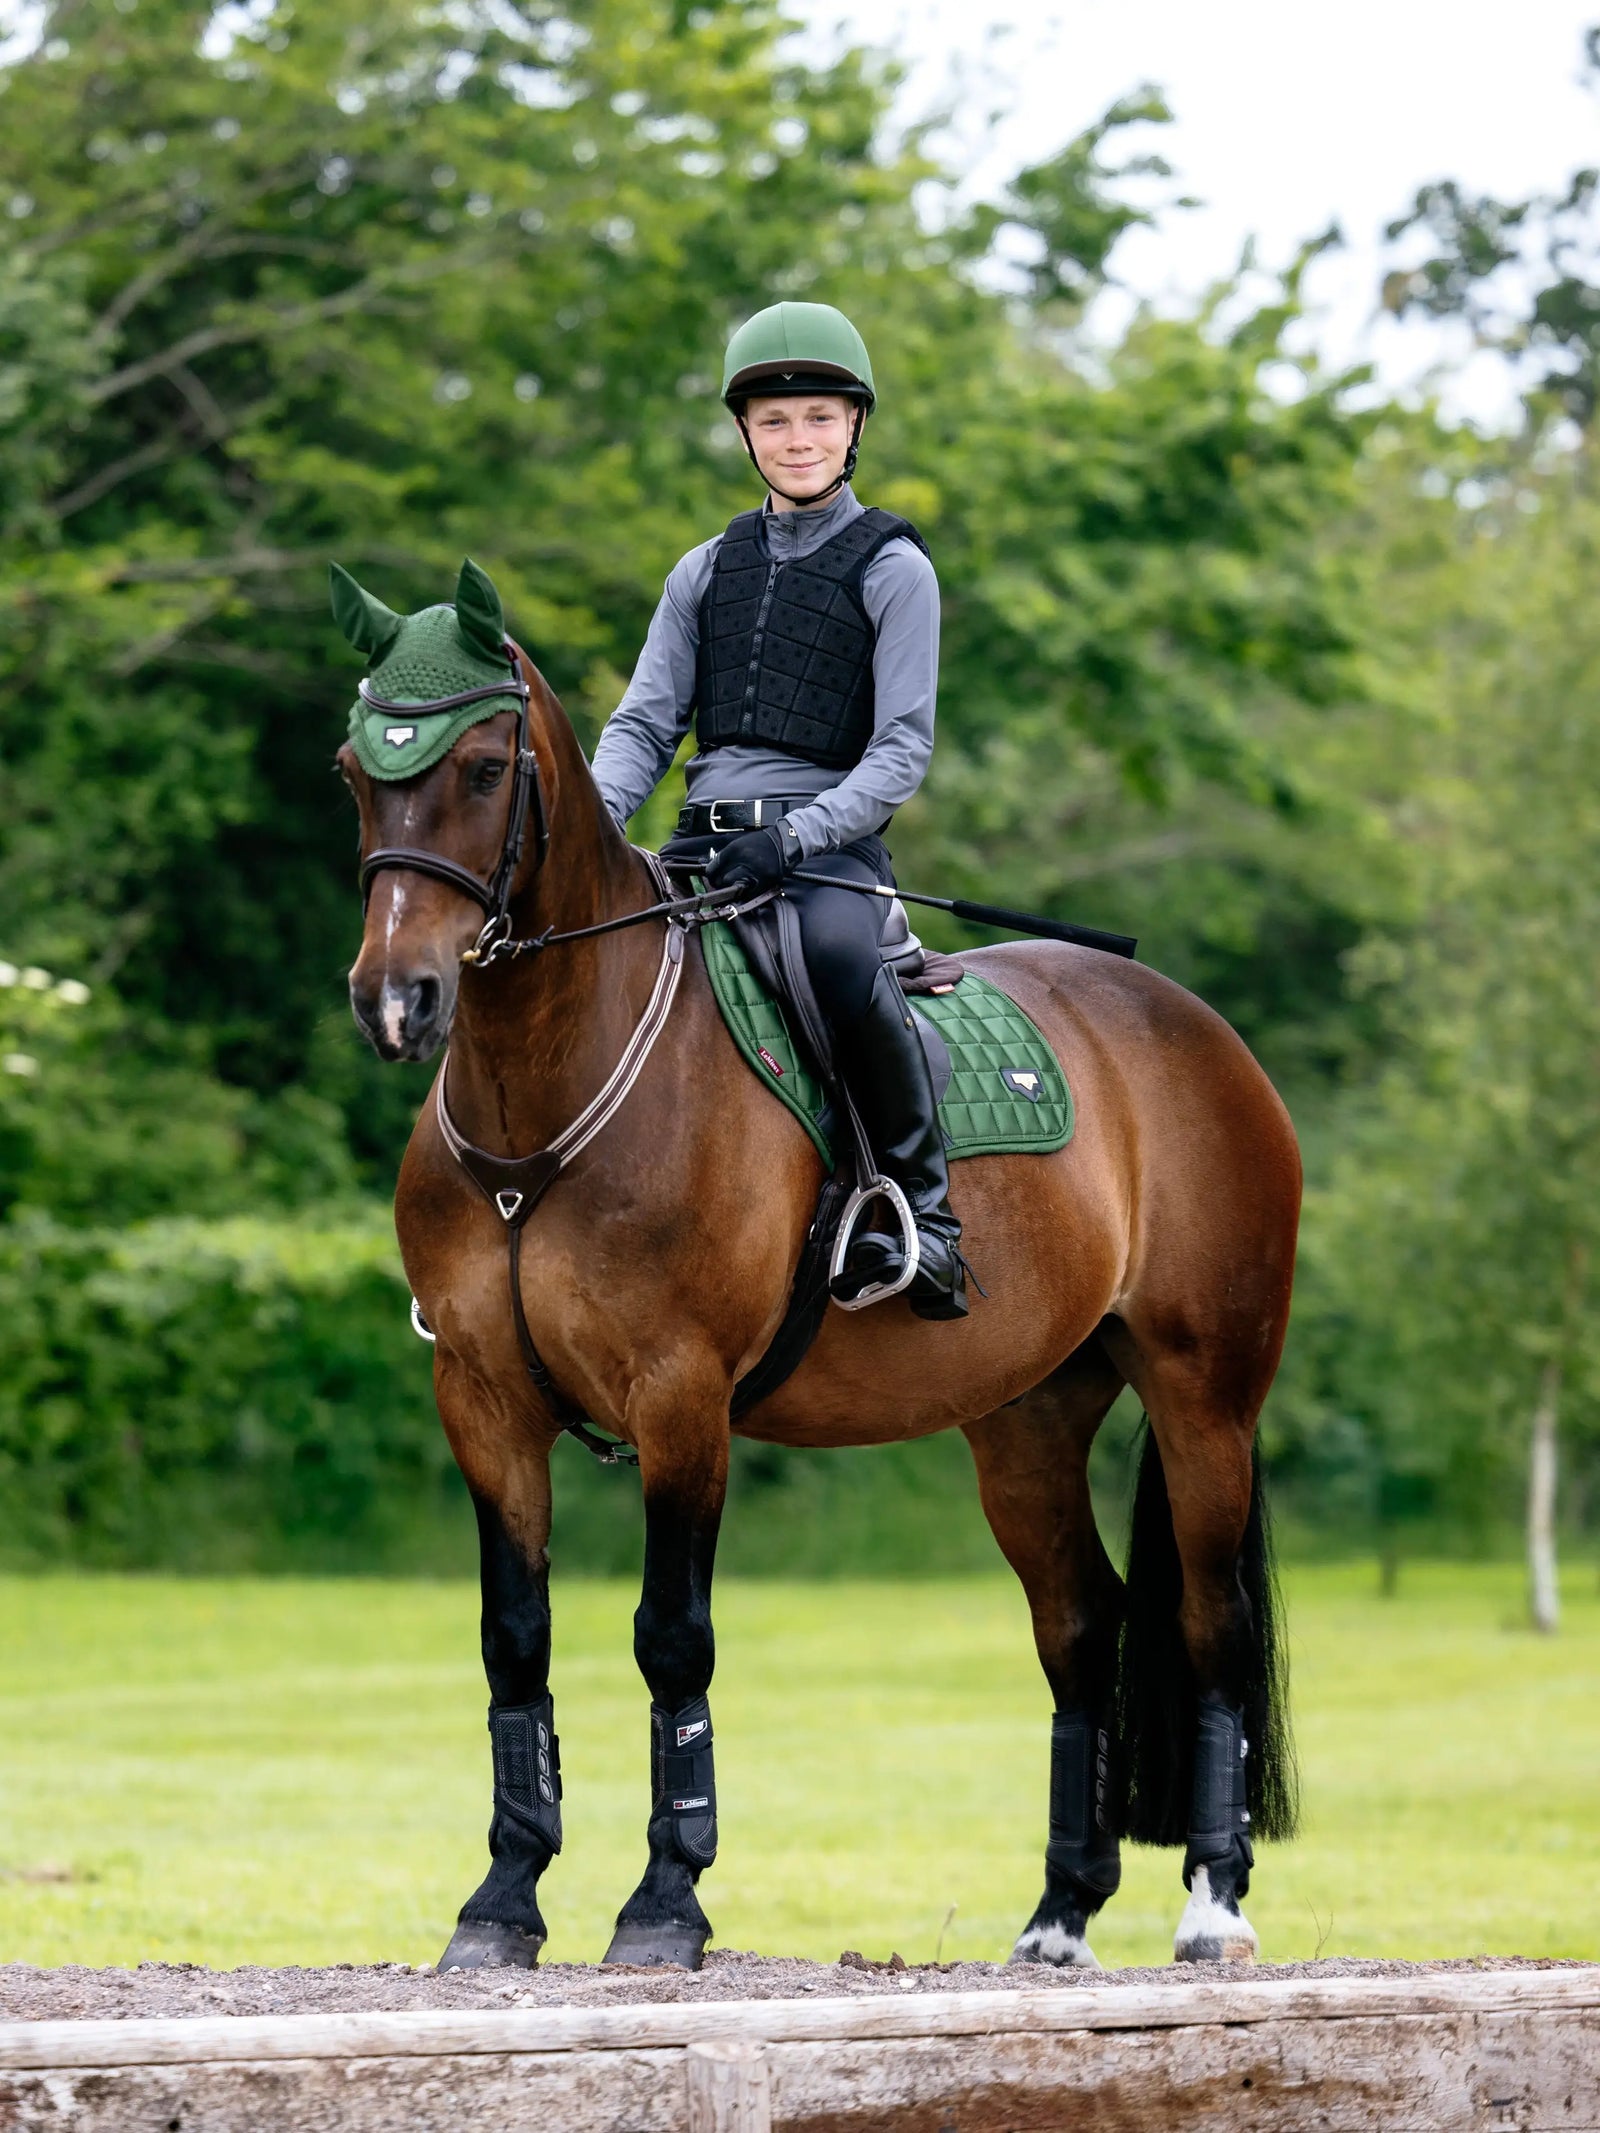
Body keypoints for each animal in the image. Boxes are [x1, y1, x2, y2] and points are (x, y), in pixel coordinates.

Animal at [337, 573, 1302, 1975]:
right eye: (358, 770)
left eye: (480, 767)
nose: (396, 1000)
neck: (554, 1090)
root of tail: (1195, 1028)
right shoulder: (484, 1400)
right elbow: (514, 1641)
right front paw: (503, 1899)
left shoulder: (680, 1400)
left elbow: (671, 1641)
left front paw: (664, 1901)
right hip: (1025, 1422)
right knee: (1081, 1627)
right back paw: (1058, 1915)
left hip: (1204, 1399)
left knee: (1206, 1621)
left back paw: (1213, 1906)